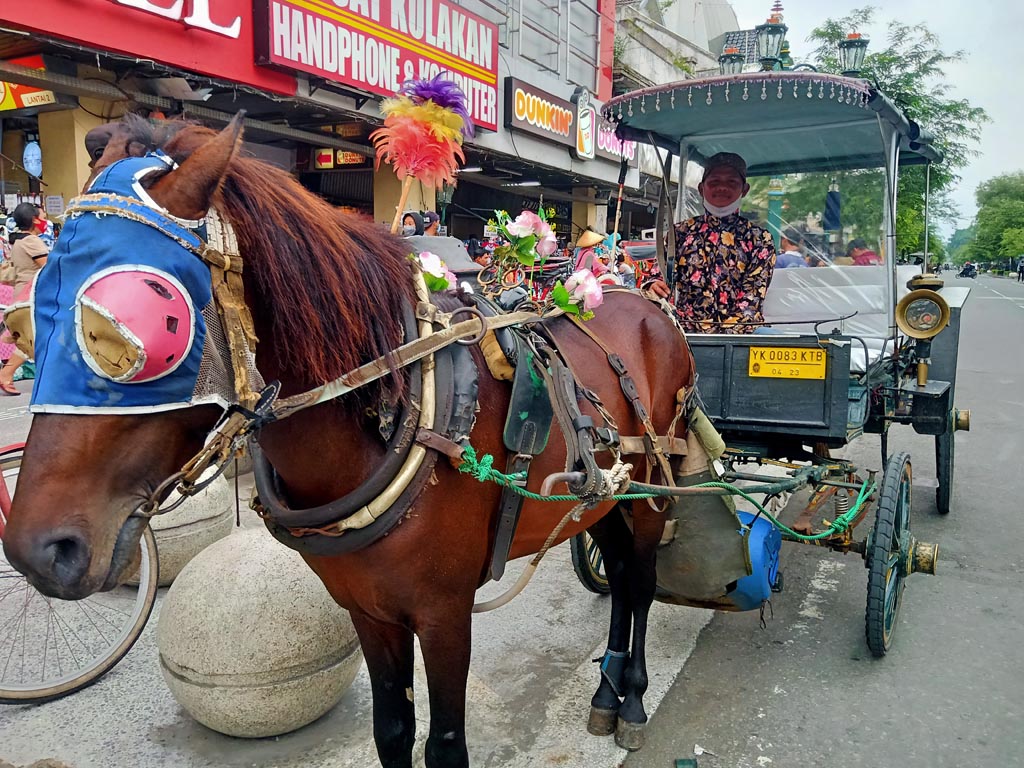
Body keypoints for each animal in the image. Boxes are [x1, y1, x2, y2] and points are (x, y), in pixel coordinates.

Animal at [4, 117, 692, 765]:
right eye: (35, 311)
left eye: (130, 329)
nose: (37, 551)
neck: (396, 416)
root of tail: (645, 304)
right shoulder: (368, 608)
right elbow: (392, 732)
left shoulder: (444, 614)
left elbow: (445, 745)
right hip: (598, 498)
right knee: (617, 569)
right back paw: (606, 692)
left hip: (651, 487)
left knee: (638, 579)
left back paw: (632, 697)